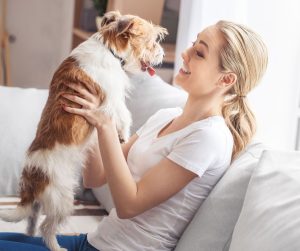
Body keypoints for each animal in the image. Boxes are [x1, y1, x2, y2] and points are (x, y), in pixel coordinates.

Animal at [0, 10, 168, 251]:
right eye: (153, 41)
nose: (162, 53)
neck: (109, 48)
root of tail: (34, 178)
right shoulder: (112, 99)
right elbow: (125, 115)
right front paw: (124, 134)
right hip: (62, 199)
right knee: (46, 228)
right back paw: (55, 246)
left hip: (41, 204)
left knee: (32, 219)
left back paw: (30, 235)